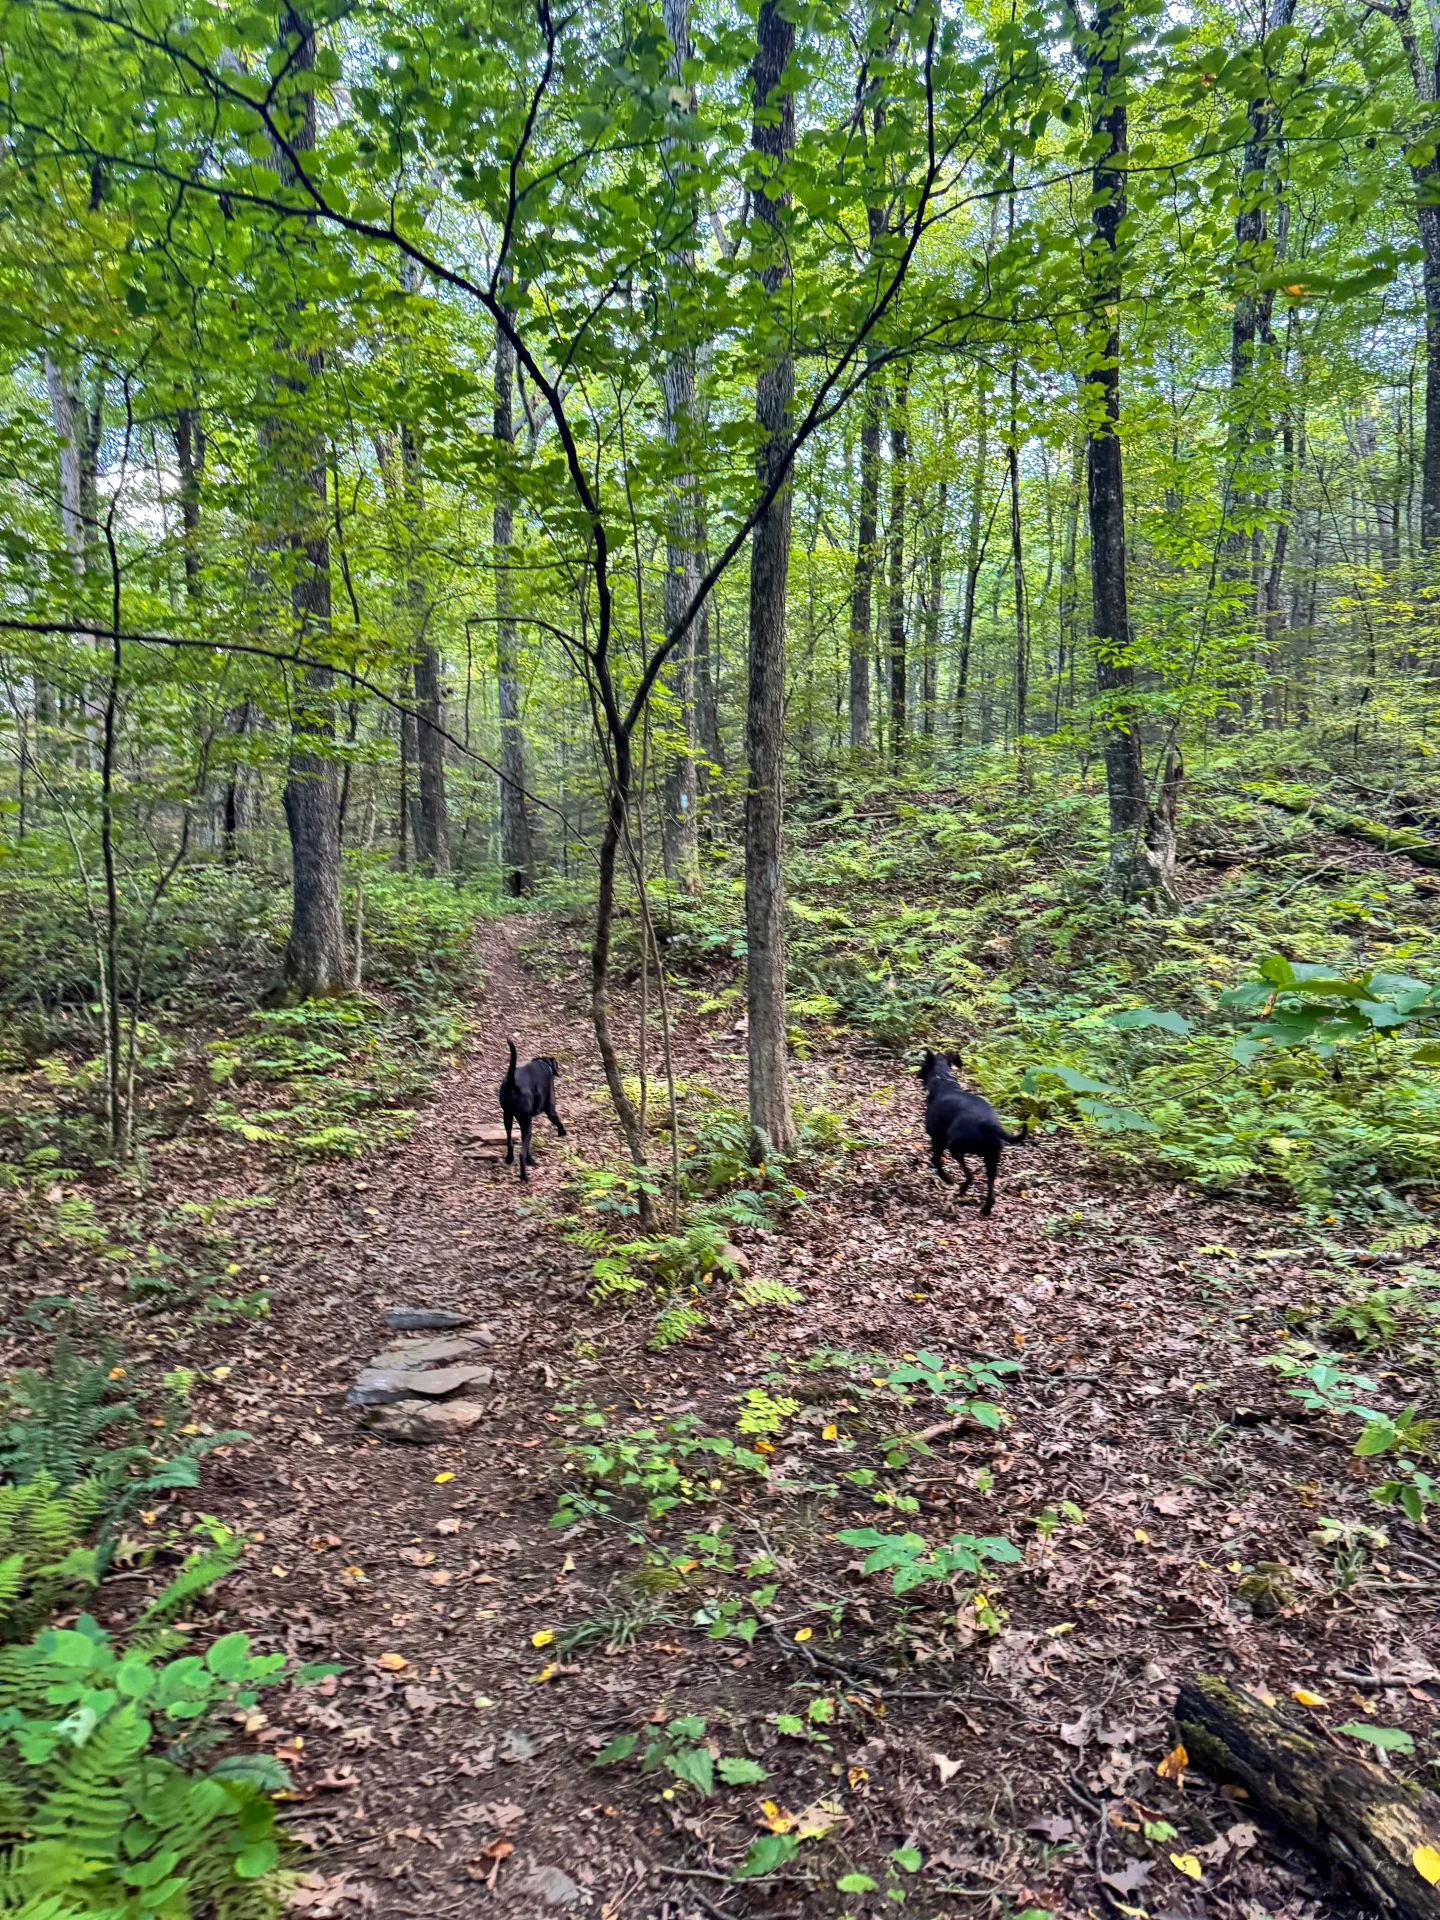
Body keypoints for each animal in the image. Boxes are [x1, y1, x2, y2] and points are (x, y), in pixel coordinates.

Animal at [495, 1044, 564, 1175]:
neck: (543, 1064)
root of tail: (512, 1082)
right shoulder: (550, 1109)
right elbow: (557, 1120)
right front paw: (562, 1133)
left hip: (508, 1118)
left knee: (510, 1142)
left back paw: (510, 1158)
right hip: (526, 1123)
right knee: (522, 1153)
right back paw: (525, 1174)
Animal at [917, 1052, 1029, 1213]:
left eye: (923, 1065)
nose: (917, 1074)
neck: (944, 1081)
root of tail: (987, 1124)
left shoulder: (937, 1141)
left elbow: (936, 1161)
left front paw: (947, 1179)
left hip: (955, 1148)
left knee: (970, 1176)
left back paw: (960, 1191)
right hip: (991, 1159)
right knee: (991, 1190)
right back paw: (985, 1209)